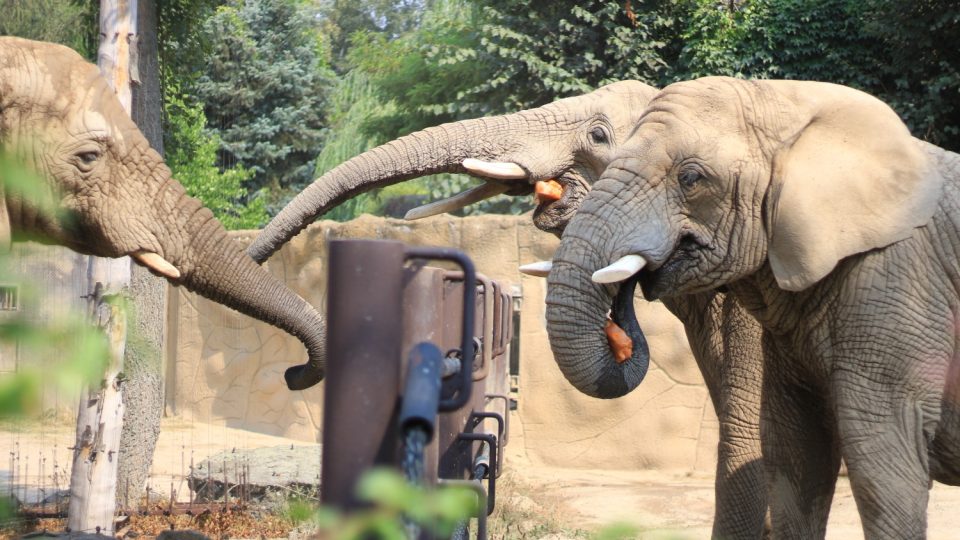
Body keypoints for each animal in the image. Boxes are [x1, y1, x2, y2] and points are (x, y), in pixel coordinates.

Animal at [548, 75, 960, 536]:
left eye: (690, 178)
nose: (620, 316)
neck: (792, 106)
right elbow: (797, 457)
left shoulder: (897, 285)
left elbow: (883, 466)